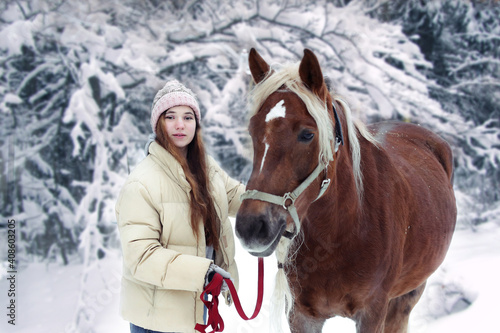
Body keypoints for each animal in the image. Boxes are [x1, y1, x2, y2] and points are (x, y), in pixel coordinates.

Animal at [234, 48, 458, 332]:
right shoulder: (301, 315)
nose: (251, 226)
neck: (342, 233)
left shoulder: (373, 313)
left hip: (406, 298)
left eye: (307, 134)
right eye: (252, 130)